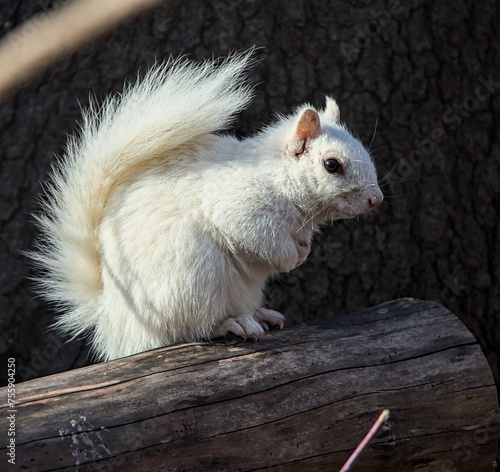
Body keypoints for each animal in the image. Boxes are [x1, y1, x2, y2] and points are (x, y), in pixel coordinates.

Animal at [31, 50, 382, 362]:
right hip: (191, 277)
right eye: (331, 165)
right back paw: (232, 324)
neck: (278, 179)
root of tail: (115, 323)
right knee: (188, 331)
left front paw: (304, 251)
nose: (375, 199)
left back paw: (260, 315)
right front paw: (289, 259)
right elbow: (263, 242)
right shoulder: (240, 210)